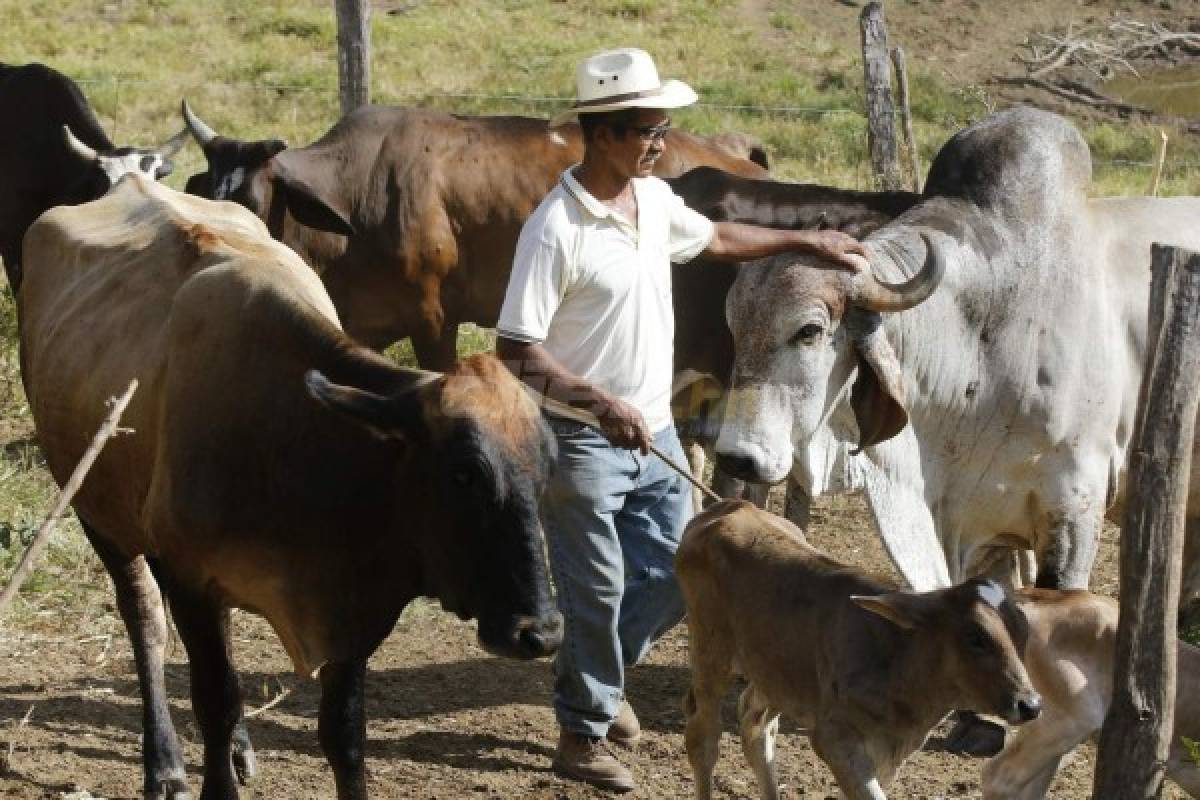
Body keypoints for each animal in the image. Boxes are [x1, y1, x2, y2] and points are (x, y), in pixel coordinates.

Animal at [18, 175, 561, 800]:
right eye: (465, 472)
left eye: (547, 469)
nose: (541, 633)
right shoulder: (189, 578)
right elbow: (216, 701)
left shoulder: (355, 616)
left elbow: (343, 735)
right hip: (96, 512)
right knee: (145, 622)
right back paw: (165, 764)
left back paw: (239, 752)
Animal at [676, 501, 1041, 800]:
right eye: (976, 637)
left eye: (1023, 634)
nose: (1031, 704)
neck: (898, 660)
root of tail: (731, 508)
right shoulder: (834, 739)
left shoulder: (890, 753)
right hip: (709, 655)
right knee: (703, 740)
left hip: (774, 672)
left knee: (755, 728)